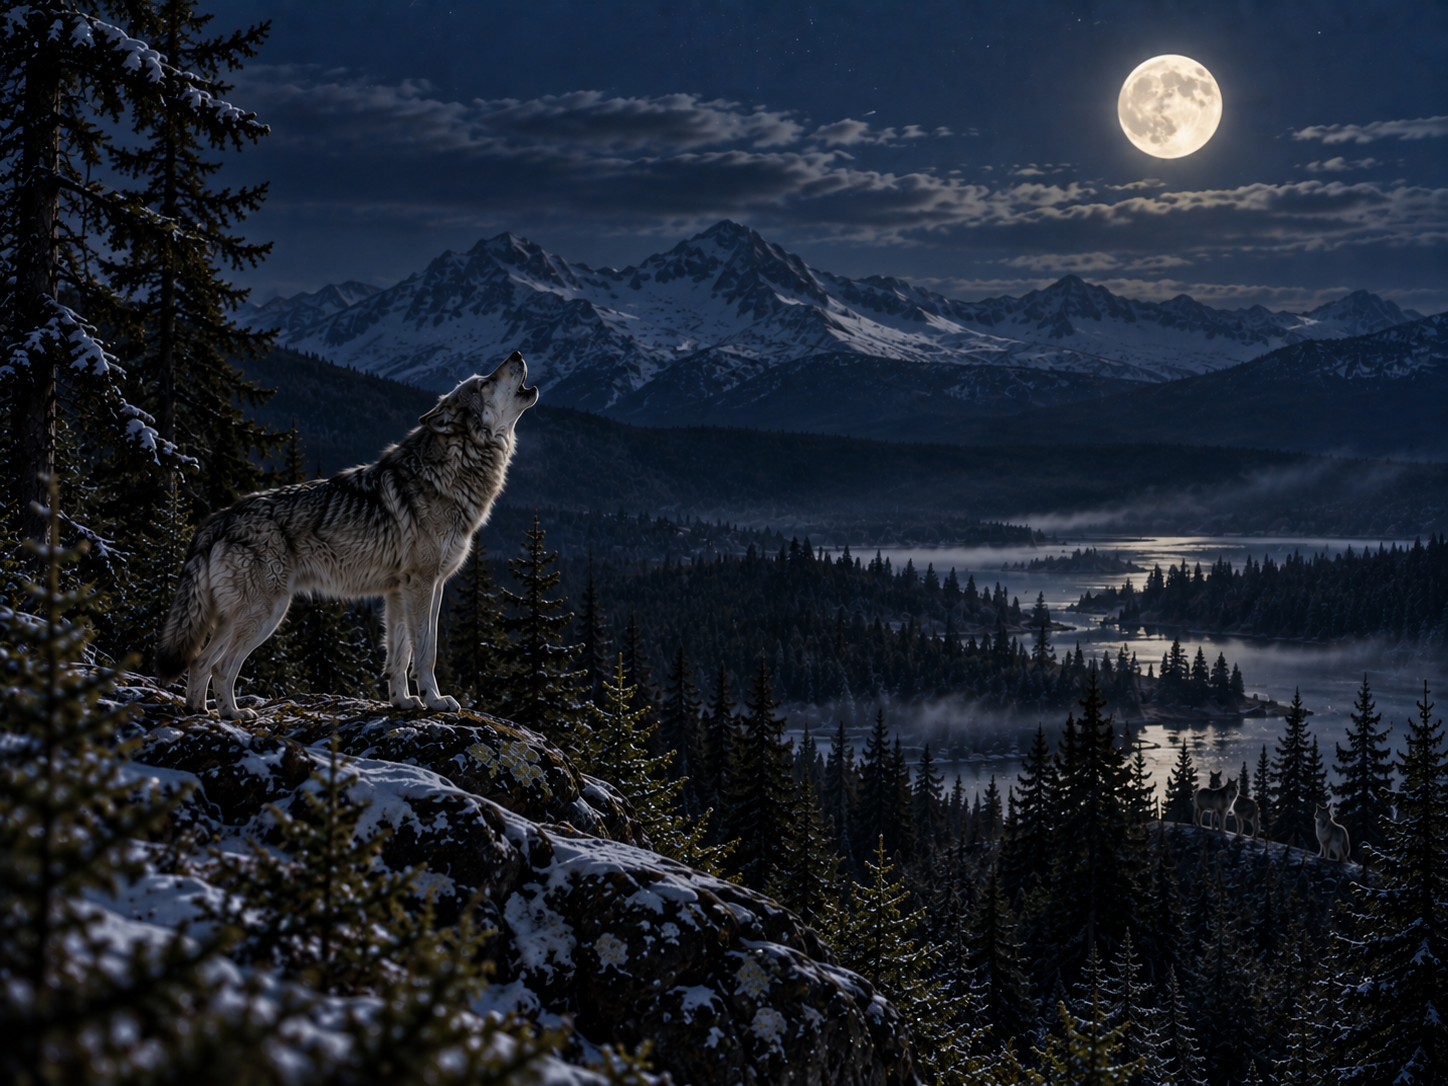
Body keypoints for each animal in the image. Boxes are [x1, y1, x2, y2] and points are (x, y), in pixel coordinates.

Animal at [156, 353, 538, 720]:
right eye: (486, 382)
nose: (517, 353)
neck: (450, 472)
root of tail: (218, 518)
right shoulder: (424, 584)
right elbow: (426, 652)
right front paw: (434, 700)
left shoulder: (399, 592)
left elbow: (398, 656)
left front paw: (403, 702)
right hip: (268, 612)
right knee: (221, 666)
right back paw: (234, 713)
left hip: (235, 617)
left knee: (199, 662)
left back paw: (200, 711)